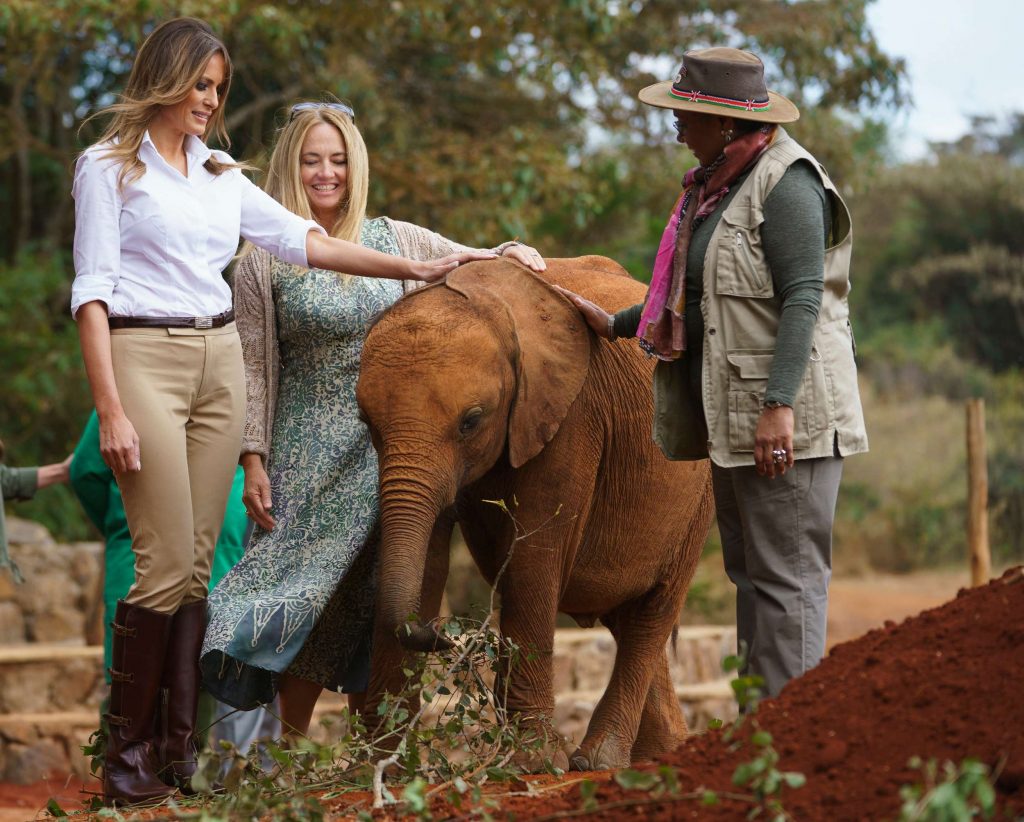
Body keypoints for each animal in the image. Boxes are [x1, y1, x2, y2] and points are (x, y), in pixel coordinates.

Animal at [358, 255, 712, 769]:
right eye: (366, 422)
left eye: (471, 421)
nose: (443, 635)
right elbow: (429, 557)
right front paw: (374, 769)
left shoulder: (571, 415)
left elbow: (534, 558)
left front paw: (532, 761)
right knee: (626, 617)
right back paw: (662, 755)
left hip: (700, 489)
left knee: (654, 610)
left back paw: (597, 761)